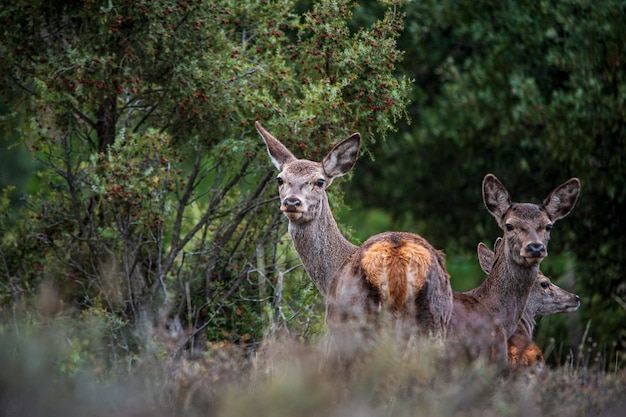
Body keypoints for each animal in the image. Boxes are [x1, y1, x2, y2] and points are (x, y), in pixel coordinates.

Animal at [254, 122, 448, 340]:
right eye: (280, 179)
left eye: (320, 181)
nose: (292, 202)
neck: (331, 274)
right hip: (435, 319)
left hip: (355, 318)